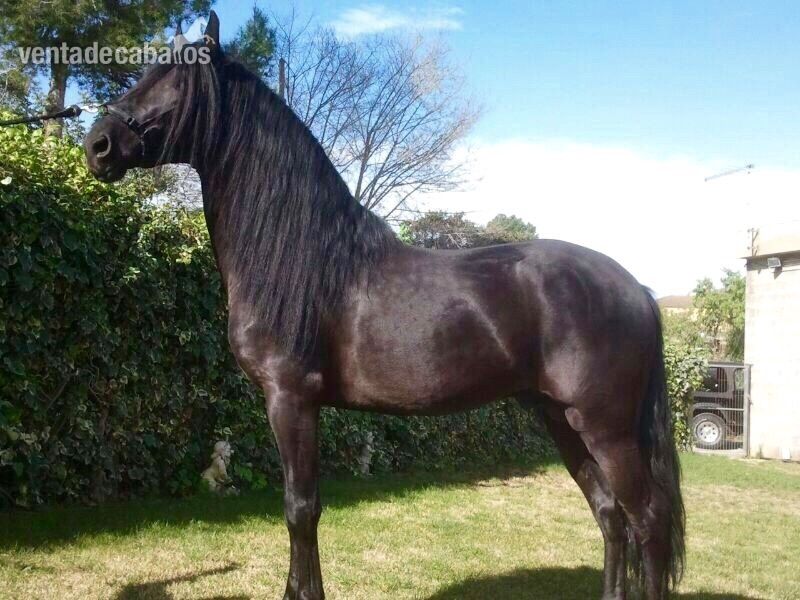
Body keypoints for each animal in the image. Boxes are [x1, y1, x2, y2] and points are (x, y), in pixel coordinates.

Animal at [83, 12, 684, 599]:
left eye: (174, 80)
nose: (97, 145)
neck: (303, 258)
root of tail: (637, 291)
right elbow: (299, 510)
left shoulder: (290, 397)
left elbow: (300, 510)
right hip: (561, 418)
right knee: (610, 515)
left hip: (606, 427)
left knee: (648, 519)